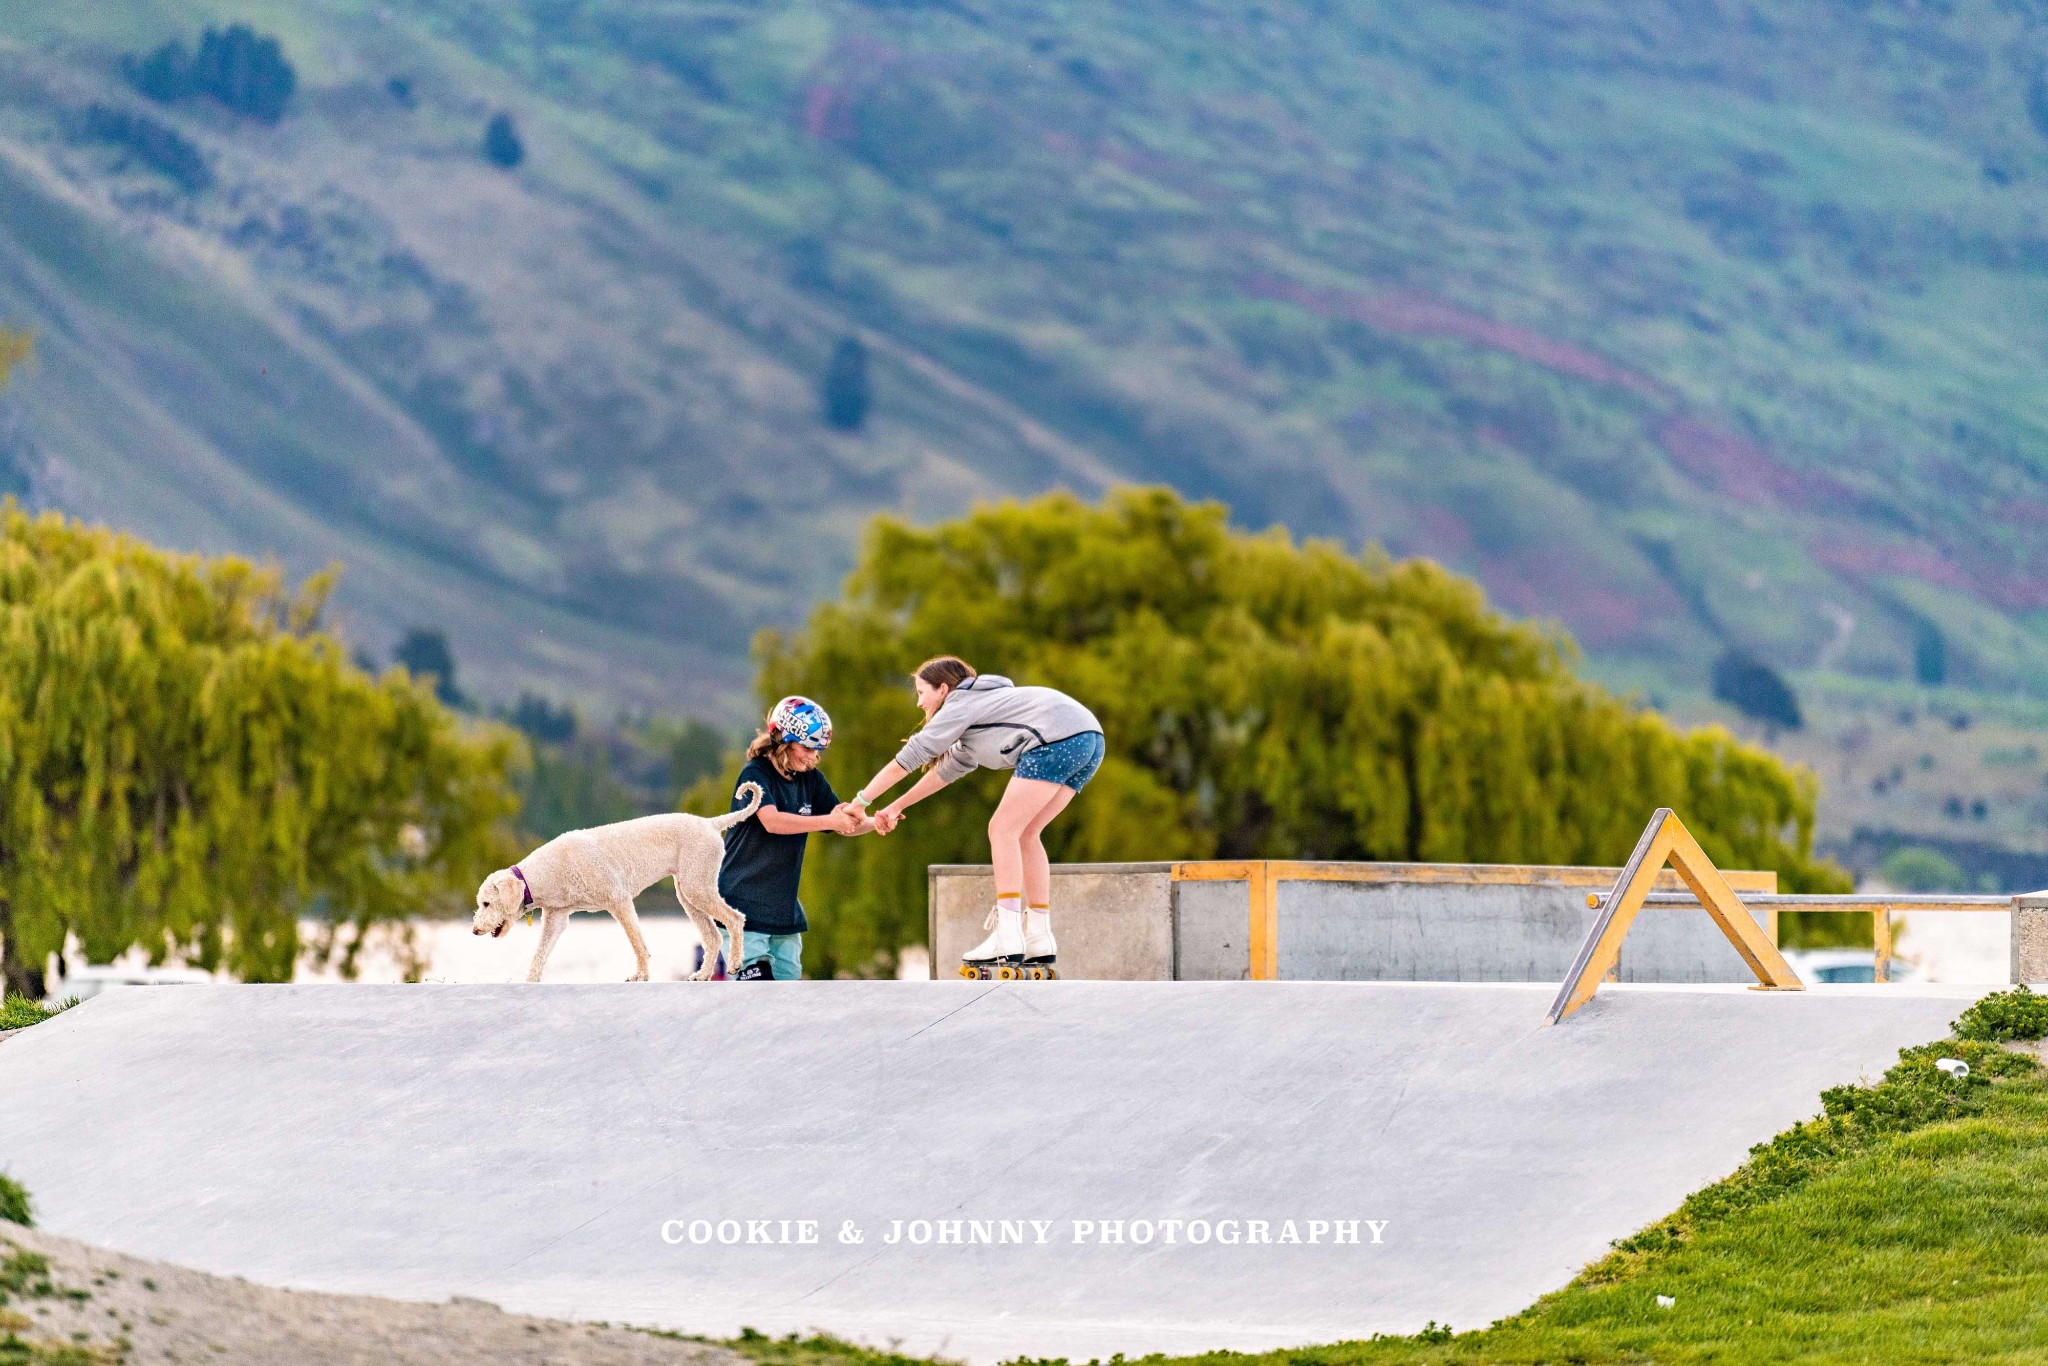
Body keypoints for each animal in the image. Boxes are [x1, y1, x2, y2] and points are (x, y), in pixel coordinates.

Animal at [471, 778, 770, 983]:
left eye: (486, 903)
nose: (474, 931)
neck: (542, 874)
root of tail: (710, 823)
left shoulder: (619, 901)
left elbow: (637, 942)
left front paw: (641, 975)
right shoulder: (556, 917)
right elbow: (540, 952)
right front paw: (530, 980)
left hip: (697, 887)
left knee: (735, 919)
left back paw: (735, 963)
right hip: (687, 893)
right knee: (712, 937)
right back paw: (702, 975)